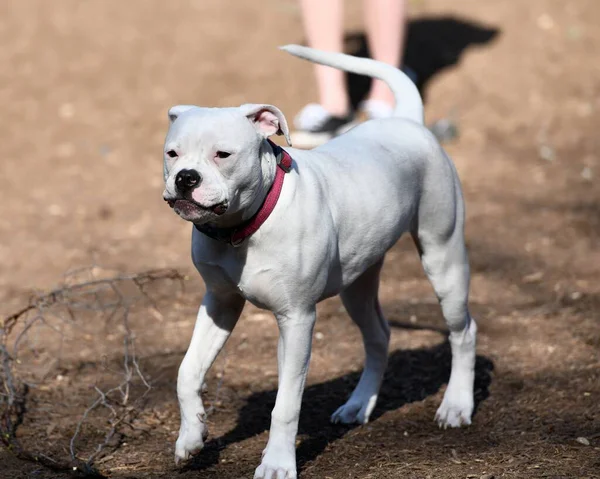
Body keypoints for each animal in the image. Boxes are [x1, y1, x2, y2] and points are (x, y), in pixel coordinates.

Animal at [162, 46, 476, 479]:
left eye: (222, 155)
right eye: (172, 153)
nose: (186, 178)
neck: (245, 227)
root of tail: (408, 120)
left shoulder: (297, 320)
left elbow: (285, 405)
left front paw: (277, 464)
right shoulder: (219, 304)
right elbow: (187, 371)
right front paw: (191, 438)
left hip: (443, 258)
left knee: (463, 332)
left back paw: (457, 405)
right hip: (358, 286)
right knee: (379, 336)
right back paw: (359, 405)